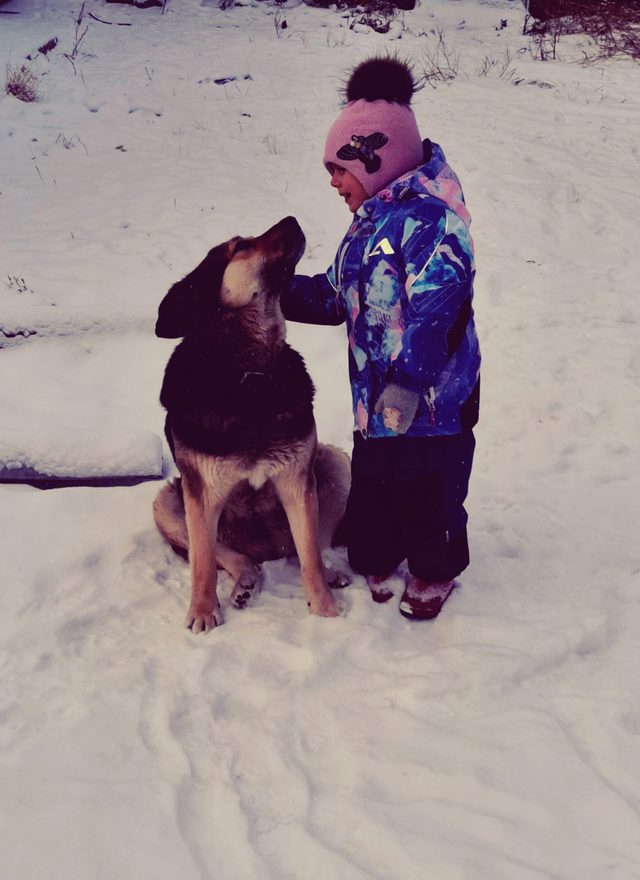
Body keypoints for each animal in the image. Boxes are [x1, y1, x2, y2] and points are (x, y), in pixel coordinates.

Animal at [154, 217, 350, 636]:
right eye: (240, 246)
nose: (291, 219)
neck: (248, 374)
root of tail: (267, 550)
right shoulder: (200, 493)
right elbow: (203, 563)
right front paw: (202, 610)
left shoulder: (296, 480)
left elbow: (311, 555)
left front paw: (324, 609)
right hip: (168, 502)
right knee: (229, 556)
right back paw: (245, 580)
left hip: (335, 463)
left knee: (308, 548)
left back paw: (330, 571)